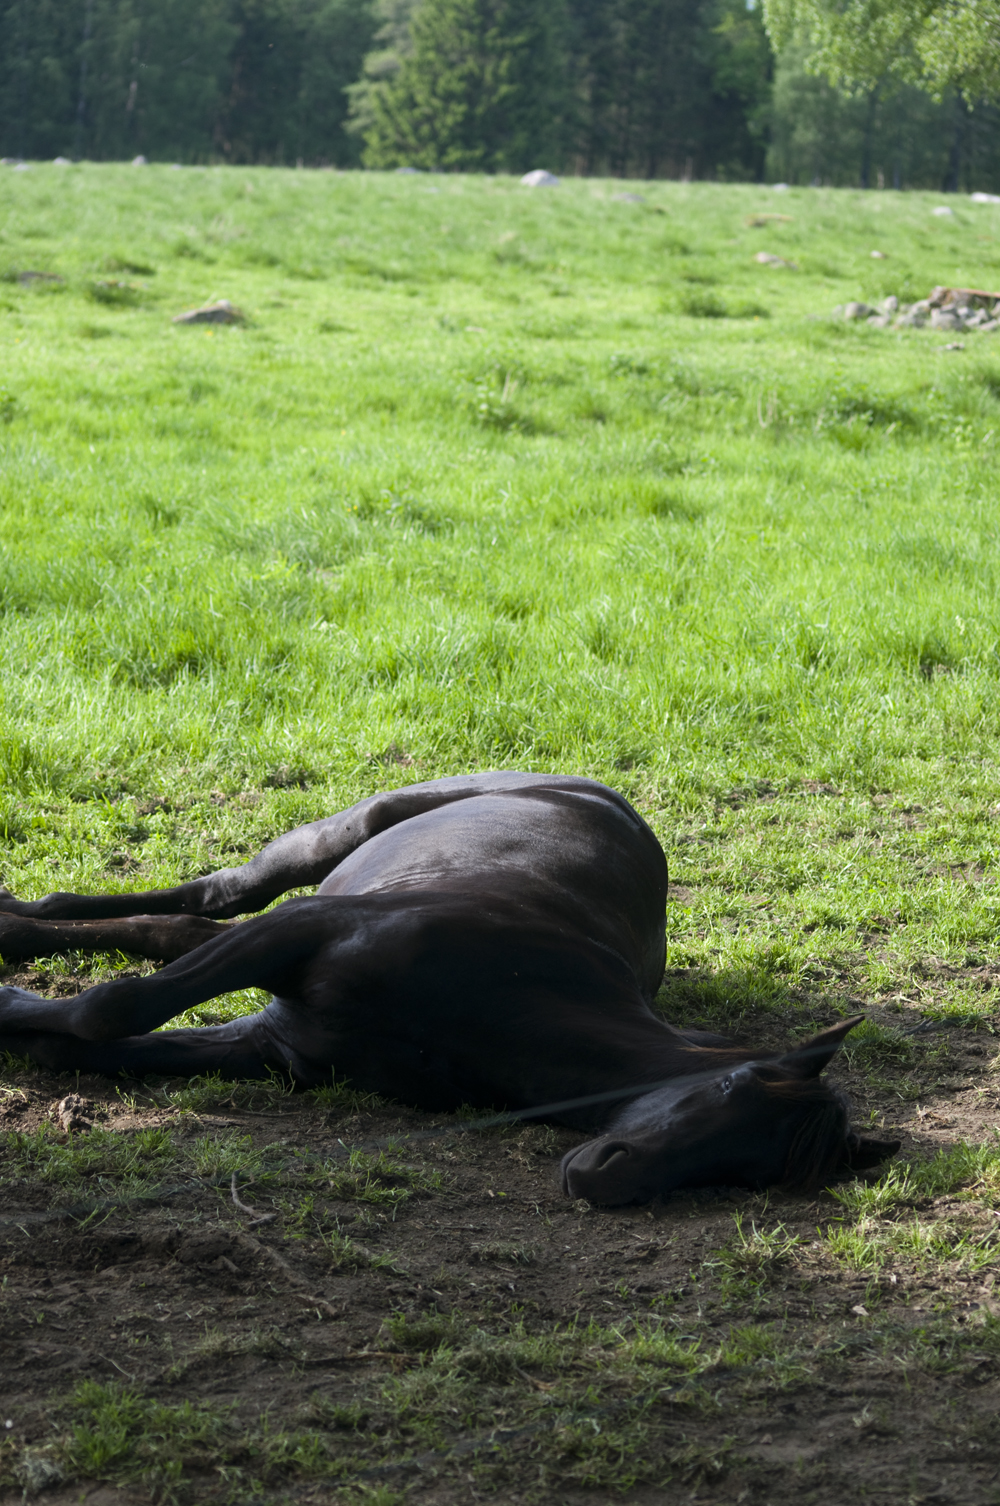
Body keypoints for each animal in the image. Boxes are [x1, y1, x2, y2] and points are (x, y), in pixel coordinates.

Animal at [0, 772, 897, 1205]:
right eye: (731, 1092)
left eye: (748, 1173)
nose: (604, 1183)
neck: (504, 1007)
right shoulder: (302, 932)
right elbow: (114, 1006)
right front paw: (11, 1000)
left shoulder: (274, 1047)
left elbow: (84, 1044)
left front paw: (23, 1023)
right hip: (330, 845)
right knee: (214, 895)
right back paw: (20, 920)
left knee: (180, 924)